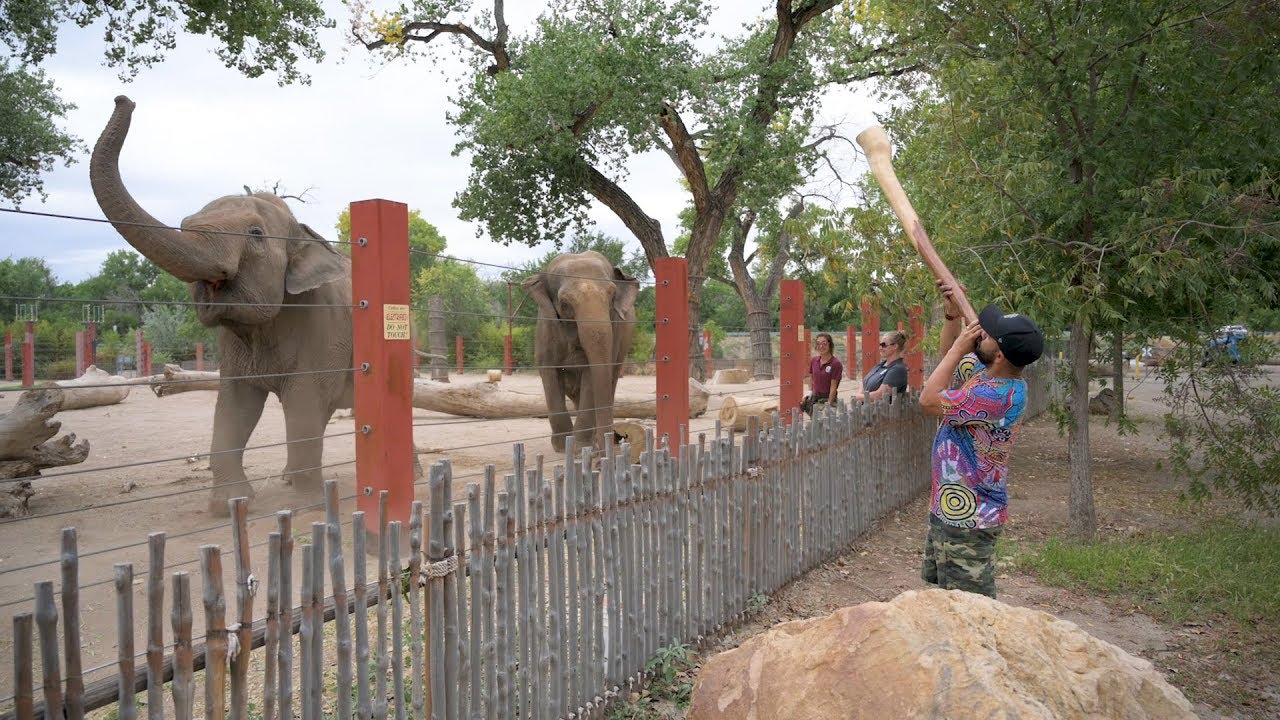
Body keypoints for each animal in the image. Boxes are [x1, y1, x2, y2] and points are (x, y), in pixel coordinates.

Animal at [90, 96, 354, 514]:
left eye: (256, 234)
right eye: (184, 223)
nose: (124, 99)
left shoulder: (323, 325)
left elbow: (304, 402)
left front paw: (307, 504)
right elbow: (234, 406)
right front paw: (230, 503)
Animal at [522, 252, 639, 454]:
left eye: (612, 295)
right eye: (564, 303)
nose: (618, 438)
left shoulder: (615, 329)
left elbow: (591, 375)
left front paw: (580, 448)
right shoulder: (546, 327)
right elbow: (549, 374)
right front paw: (562, 447)